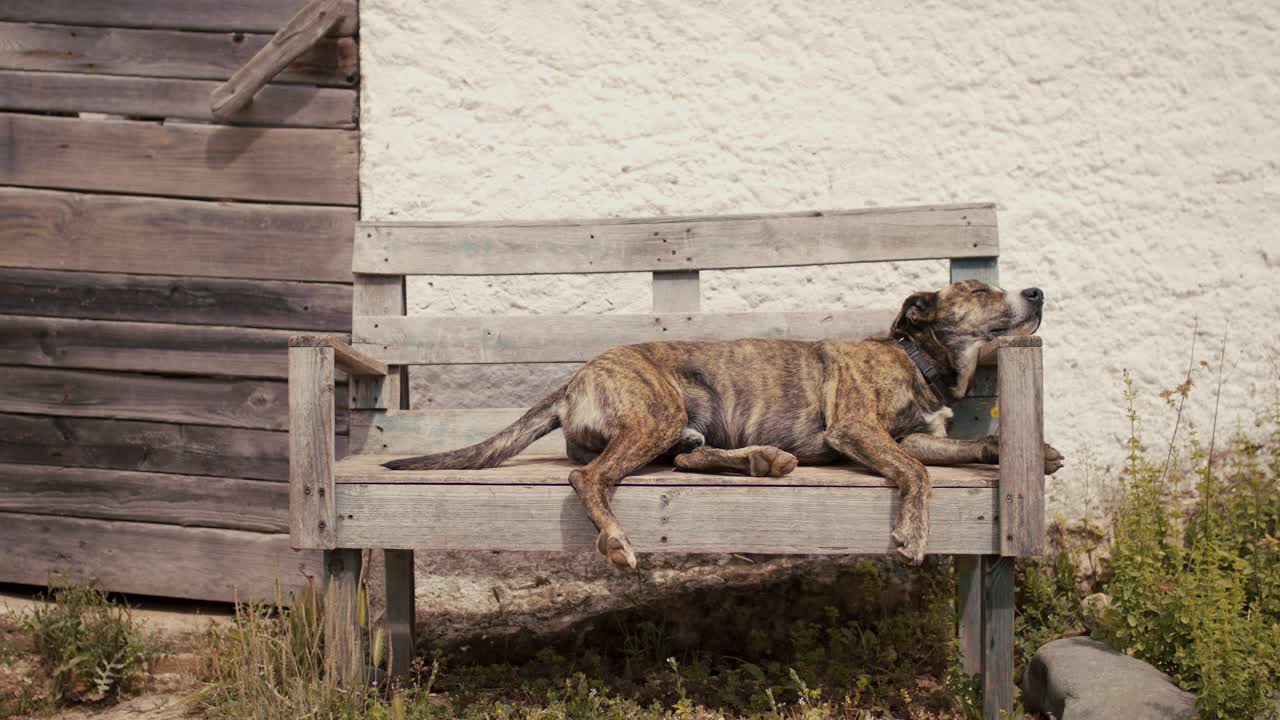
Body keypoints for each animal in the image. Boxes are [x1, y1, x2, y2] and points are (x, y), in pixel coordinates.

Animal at [384, 280, 1064, 566]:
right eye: (979, 290)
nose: (1036, 292)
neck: (917, 357)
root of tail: (575, 379)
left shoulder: (916, 435)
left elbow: (961, 448)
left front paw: (1031, 451)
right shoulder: (855, 430)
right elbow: (917, 475)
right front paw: (912, 537)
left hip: (683, 425)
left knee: (686, 456)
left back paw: (762, 458)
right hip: (658, 412)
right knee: (590, 478)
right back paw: (618, 541)